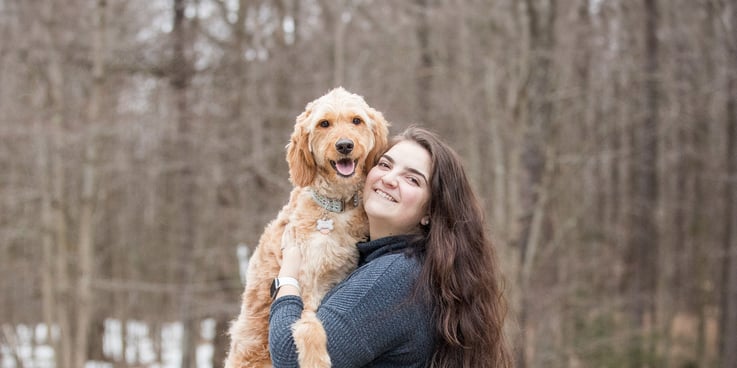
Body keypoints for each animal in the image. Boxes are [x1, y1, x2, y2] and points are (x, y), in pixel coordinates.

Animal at [224, 87, 388, 366]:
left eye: (356, 120)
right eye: (324, 124)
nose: (345, 145)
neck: (336, 207)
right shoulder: (307, 283)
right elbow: (309, 327)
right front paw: (316, 359)